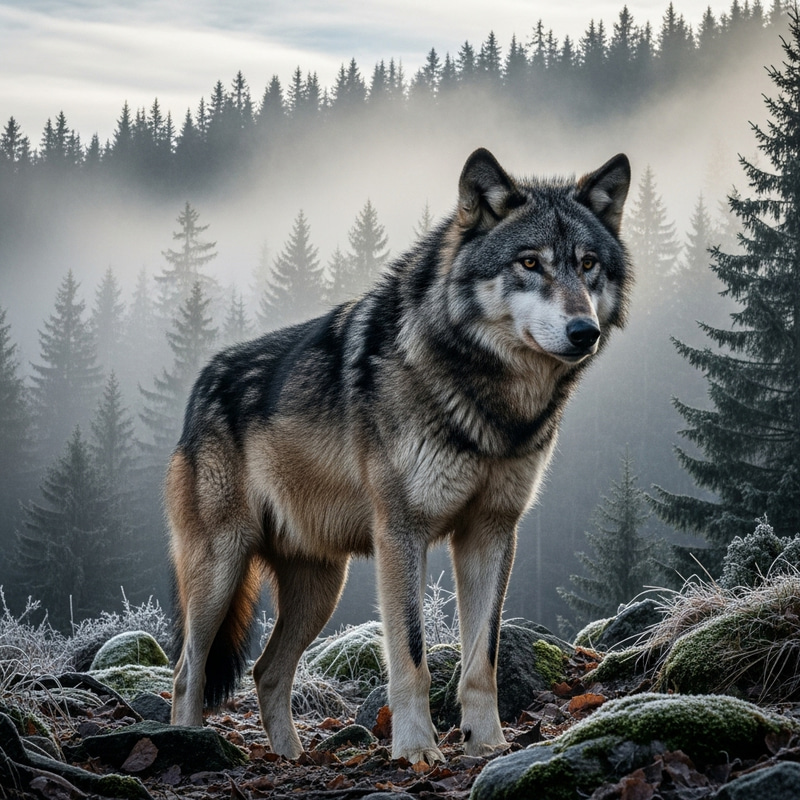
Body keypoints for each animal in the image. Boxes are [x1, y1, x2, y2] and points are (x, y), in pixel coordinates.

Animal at [168, 147, 631, 763]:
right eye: (530, 263)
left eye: (588, 265)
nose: (585, 331)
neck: (489, 401)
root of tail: (201, 383)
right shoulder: (402, 533)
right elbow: (411, 655)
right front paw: (416, 750)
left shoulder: (490, 532)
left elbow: (481, 658)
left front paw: (489, 744)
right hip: (220, 570)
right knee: (186, 671)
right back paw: (187, 745)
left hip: (321, 588)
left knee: (267, 671)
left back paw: (292, 757)